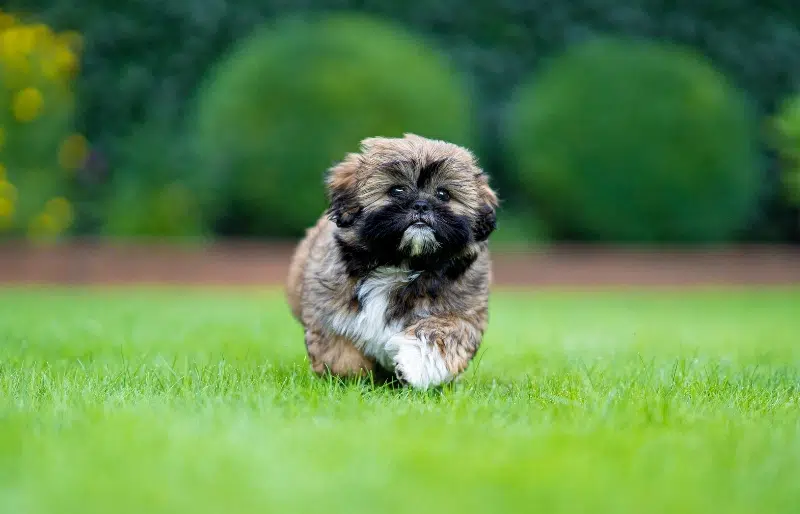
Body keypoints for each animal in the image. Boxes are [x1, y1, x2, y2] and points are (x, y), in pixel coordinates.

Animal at [288, 132, 496, 388]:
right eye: (397, 190)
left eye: (443, 194)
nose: (421, 205)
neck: (401, 262)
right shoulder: (327, 310)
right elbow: (339, 351)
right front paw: (348, 380)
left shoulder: (461, 314)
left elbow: (440, 335)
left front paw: (414, 365)